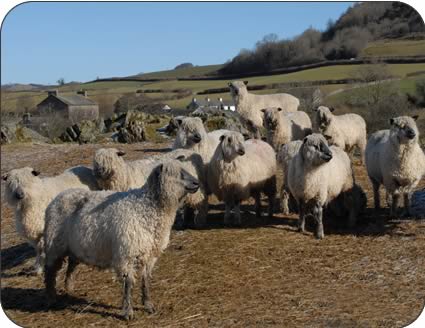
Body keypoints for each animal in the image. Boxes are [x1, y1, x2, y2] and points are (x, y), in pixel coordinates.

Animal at [43, 160, 199, 320]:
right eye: (177, 173)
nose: (197, 183)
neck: (147, 207)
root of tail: (58, 197)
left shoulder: (150, 255)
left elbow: (146, 280)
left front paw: (148, 305)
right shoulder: (126, 254)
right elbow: (128, 284)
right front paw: (128, 312)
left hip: (74, 246)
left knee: (72, 264)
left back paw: (69, 288)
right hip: (54, 245)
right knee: (49, 272)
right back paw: (51, 299)